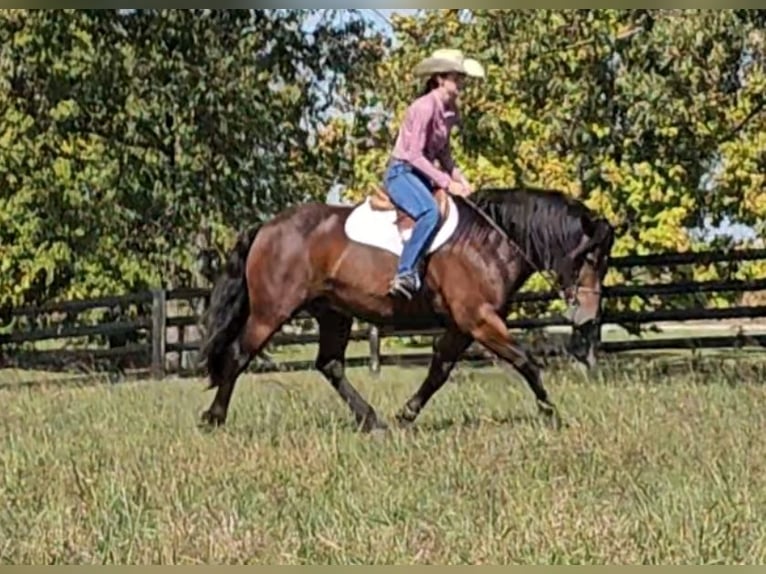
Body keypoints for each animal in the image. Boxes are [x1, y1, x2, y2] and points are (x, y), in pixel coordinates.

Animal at [197, 185, 615, 433]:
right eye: (590, 256)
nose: (589, 316)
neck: (489, 241)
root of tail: (266, 228)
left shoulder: (463, 326)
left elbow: (439, 370)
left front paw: (406, 414)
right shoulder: (479, 320)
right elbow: (526, 362)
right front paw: (551, 412)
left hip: (334, 314)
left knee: (329, 364)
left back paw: (371, 421)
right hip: (271, 312)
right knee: (238, 355)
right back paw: (213, 418)